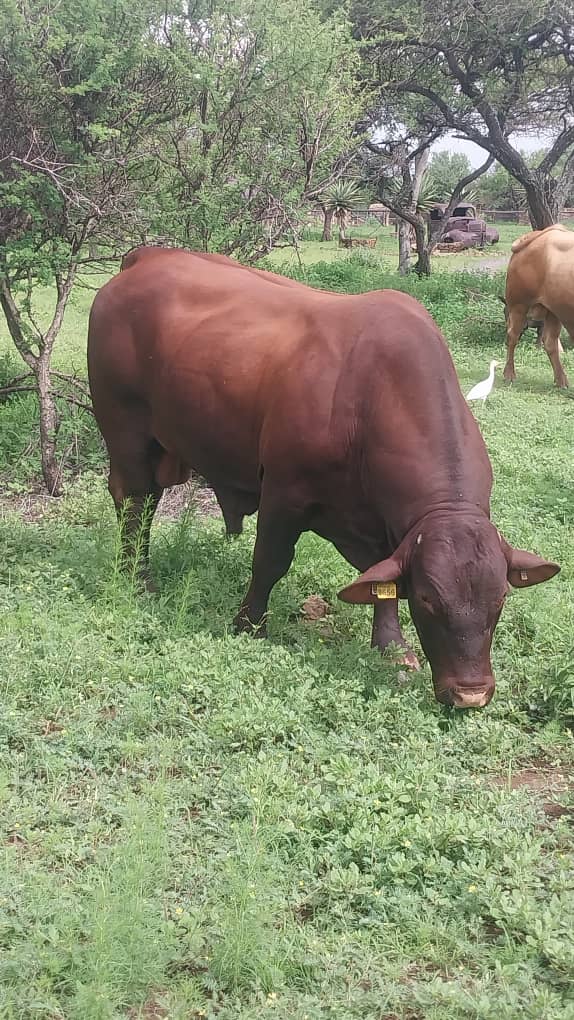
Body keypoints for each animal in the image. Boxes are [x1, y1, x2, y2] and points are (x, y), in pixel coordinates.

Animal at [87, 247, 558, 709]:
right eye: (428, 598)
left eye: (500, 598)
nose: (471, 694)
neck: (370, 397)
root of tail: (146, 257)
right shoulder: (283, 491)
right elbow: (270, 561)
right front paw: (249, 625)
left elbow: (380, 577)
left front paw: (391, 645)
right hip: (126, 432)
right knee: (134, 502)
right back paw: (137, 577)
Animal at [503, 225, 570, 387]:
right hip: (519, 305)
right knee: (512, 336)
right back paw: (509, 374)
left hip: (554, 310)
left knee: (550, 341)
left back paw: (561, 381)